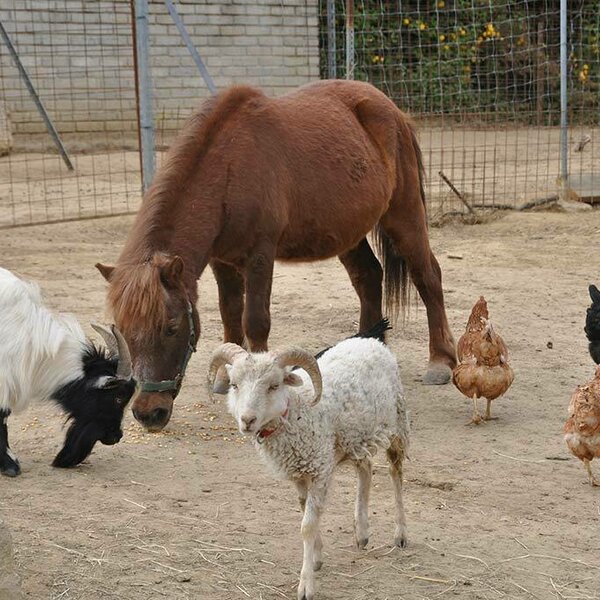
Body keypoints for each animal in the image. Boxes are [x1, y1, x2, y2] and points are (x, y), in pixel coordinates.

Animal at [96, 81, 458, 432]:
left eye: (171, 327)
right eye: (124, 330)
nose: (148, 413)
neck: (228, 168)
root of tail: (391, 109)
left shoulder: (260, 255)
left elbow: (255, 320)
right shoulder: (221, 260)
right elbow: (230, 314)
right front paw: (228, 377)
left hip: (403, 214)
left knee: (428, 276)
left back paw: (440, 360)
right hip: (349, 233)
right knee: (368, 277)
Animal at [209, 336, 410, 596]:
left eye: (274, 386)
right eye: (234, 385)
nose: (247, 420)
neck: (297, 411)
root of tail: (371, 341)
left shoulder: (319, 470)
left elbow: (307, 525)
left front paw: (306, 583)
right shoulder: (300, 474)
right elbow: (306, 513)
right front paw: (316, 557)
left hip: (398, 423)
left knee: (396, 474)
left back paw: (401, 534)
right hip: (355, 437)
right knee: (365, 469)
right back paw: (362, 532)